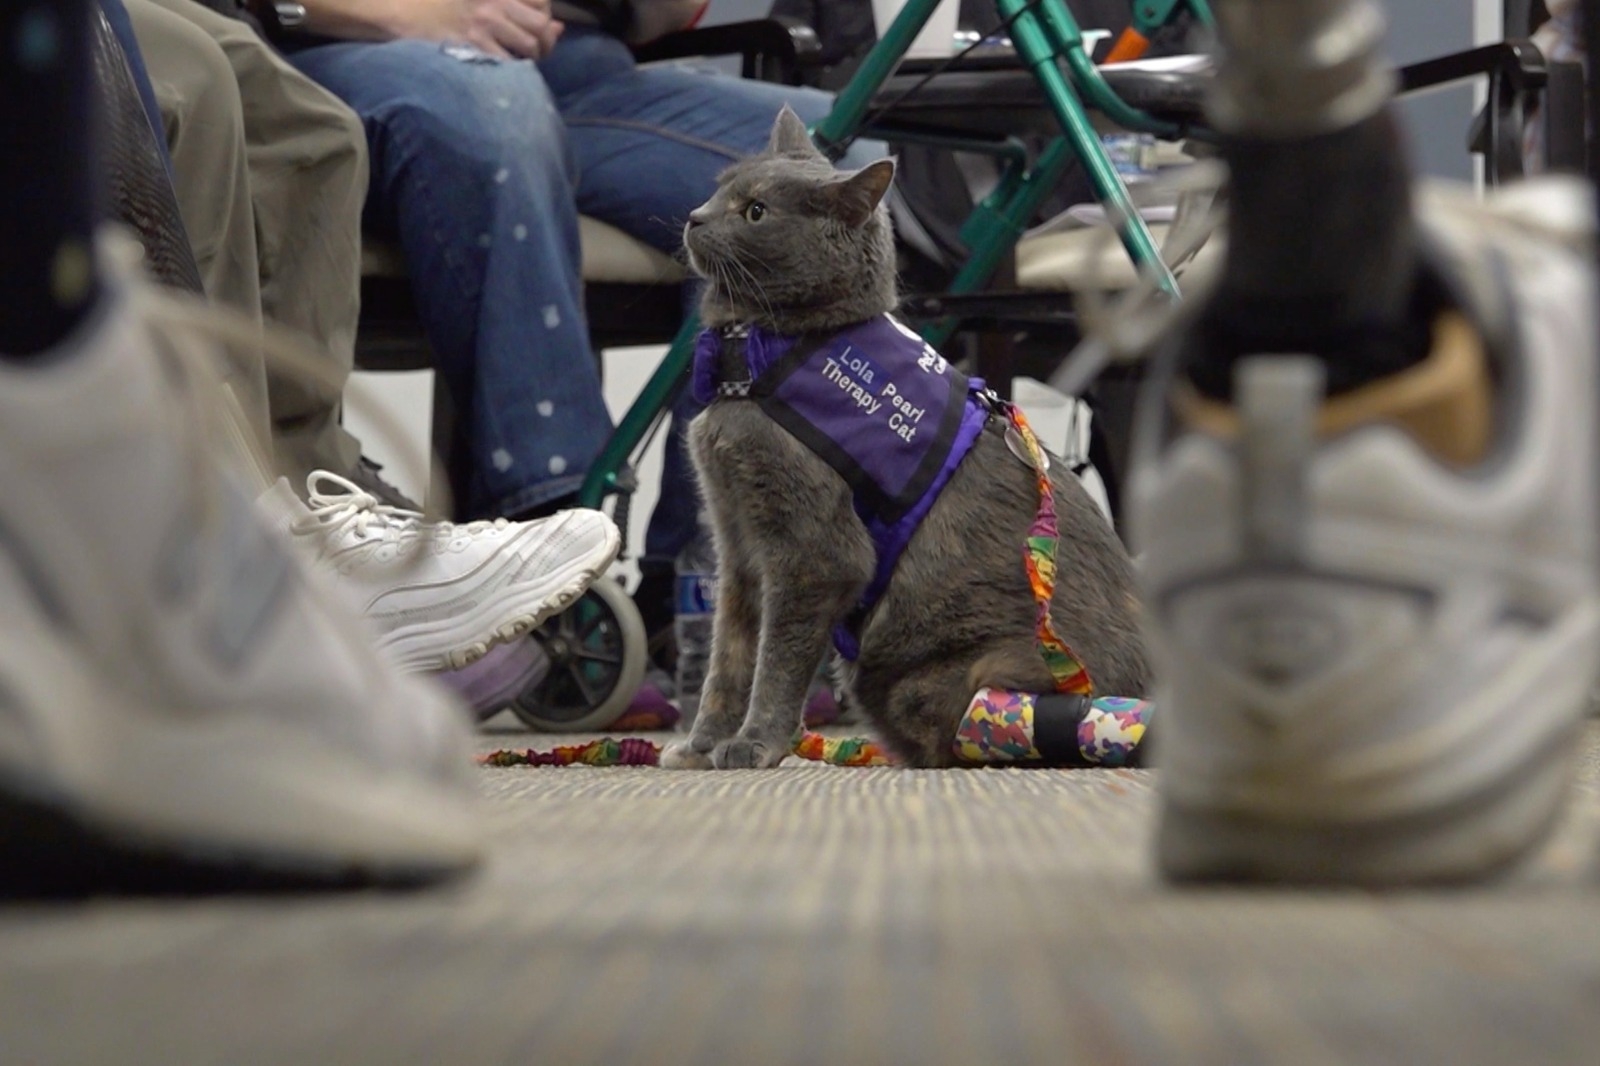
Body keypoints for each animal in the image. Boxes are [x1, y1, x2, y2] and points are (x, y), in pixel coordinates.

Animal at [662, 108, 1152, 768]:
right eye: (721, 189)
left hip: (970, 673)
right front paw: (701, 745)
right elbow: (729, 655)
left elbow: (776, 660)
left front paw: (755, 743)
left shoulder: (813, 552)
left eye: (757, 211)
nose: (695, 215)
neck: (758, 358)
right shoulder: (736, 538)